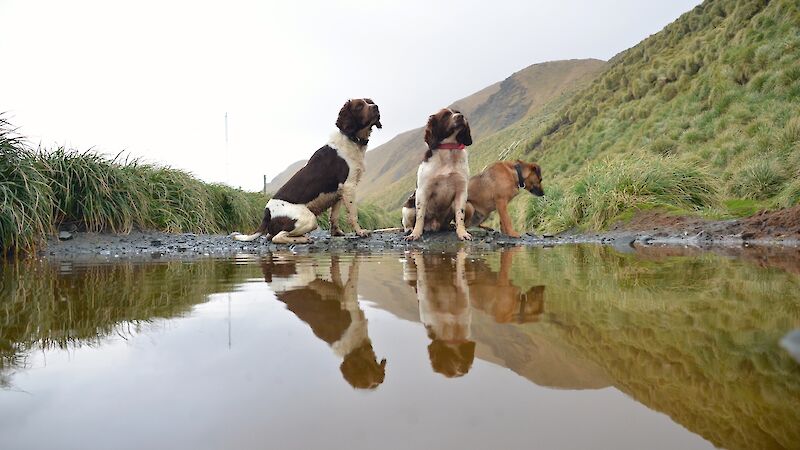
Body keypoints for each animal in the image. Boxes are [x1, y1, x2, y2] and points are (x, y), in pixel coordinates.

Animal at [231, 98, 382, 244]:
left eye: (370, 101)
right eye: (359, 106)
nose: (376, 107)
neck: (352, 139)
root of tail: (267, 213)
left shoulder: (339, 193)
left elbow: (334, 216)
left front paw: (336, 233)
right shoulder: (348, 187)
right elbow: (353, 215)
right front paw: (360, 232)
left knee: (270, 236)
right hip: (309, 219)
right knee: (277, 237)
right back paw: (304, 239)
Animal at [404, 107, 472, 241]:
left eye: (458, 112)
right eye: (445, 115)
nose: (460, 116)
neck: (449, 150)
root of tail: (434, 226)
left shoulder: (461, 191)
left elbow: (460, 215)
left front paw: (462, 233)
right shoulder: (422, 191)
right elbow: (420, 216)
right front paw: (415, 234)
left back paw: (450, 226)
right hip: (408, 206)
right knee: (408, 222)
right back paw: (409, 229)